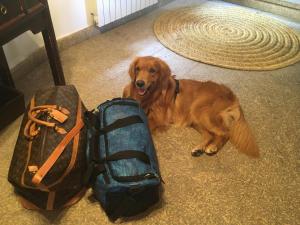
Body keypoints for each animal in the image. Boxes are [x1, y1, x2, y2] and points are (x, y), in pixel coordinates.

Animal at [123, 55, 258, 157]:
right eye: (137, 69)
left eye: (152, 70)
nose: (139, 83)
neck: (151, 95)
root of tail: (231, 94)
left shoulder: (159, 118)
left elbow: (147, 124)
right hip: (195, 119)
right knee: (210, 135)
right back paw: (199, 148)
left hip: (200, 111)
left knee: (225, 133)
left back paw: (213, 147)